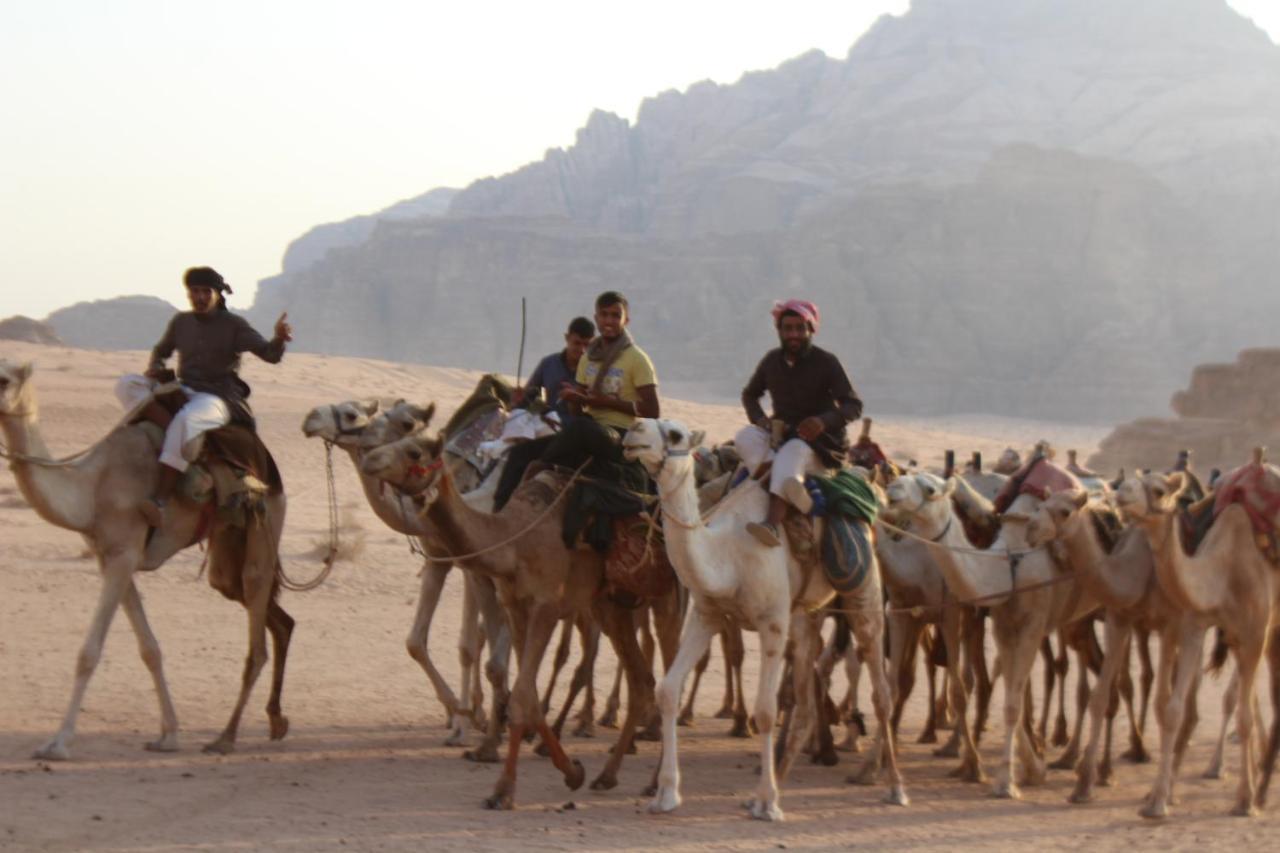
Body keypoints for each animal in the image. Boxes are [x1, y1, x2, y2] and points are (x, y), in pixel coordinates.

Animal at [0, 358, 293, 758]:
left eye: (4, 379)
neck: (91, 487)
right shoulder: (109, 557)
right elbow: (150, 649)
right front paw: (168, 735)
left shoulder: (123, 555)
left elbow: (88, 653)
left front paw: (57, 743)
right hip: (227, 547)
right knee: (274, 617)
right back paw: (276, 721)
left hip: (267, 520)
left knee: (257, 628)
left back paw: (226, 737)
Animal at [622, 417, 911, 819]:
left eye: (676, 433)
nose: (634, 428)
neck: (728, 553)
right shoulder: (707, 613)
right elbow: (667, 690)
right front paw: (666, 794)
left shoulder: (772, 621)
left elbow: (764, 709)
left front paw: (767, 805)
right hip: (806, 615)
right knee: (806, 697)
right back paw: (777, 784)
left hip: (863, 593)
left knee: (881, 691)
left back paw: (893, 787)